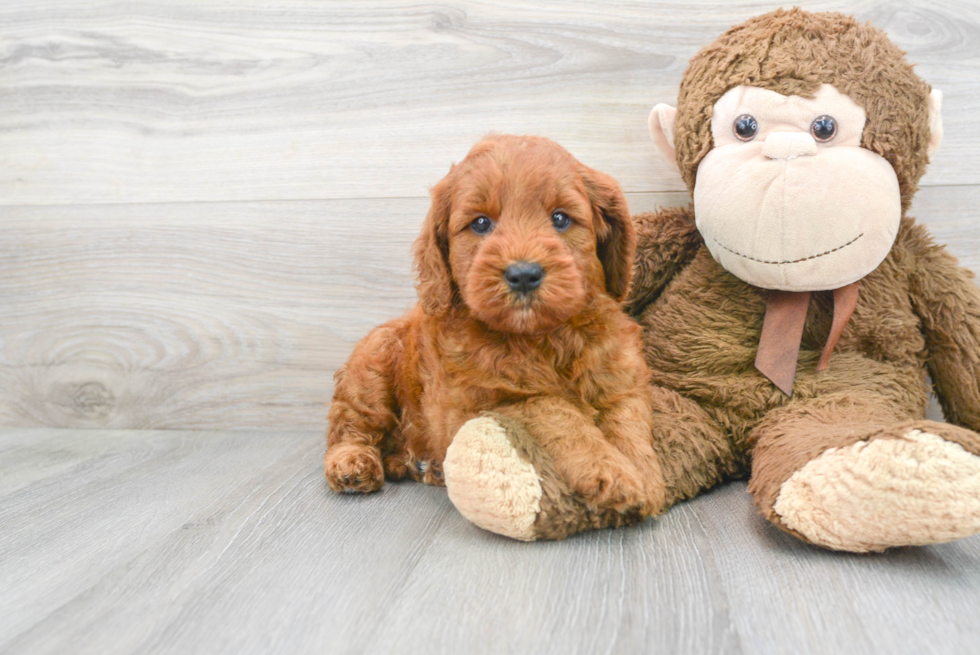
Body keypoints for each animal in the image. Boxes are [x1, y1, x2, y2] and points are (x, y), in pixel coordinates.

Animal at [326, 136, 664, 520]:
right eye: (481, 223)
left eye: (560, 218)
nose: (523, 274)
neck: (542, 337)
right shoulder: (487, 403)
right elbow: (553, 409)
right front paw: (610, 472)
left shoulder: (621, 379)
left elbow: (628, 423)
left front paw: (643, 476)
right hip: (371, 368)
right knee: (351, 423)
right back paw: (352, 463)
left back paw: (415, 464)